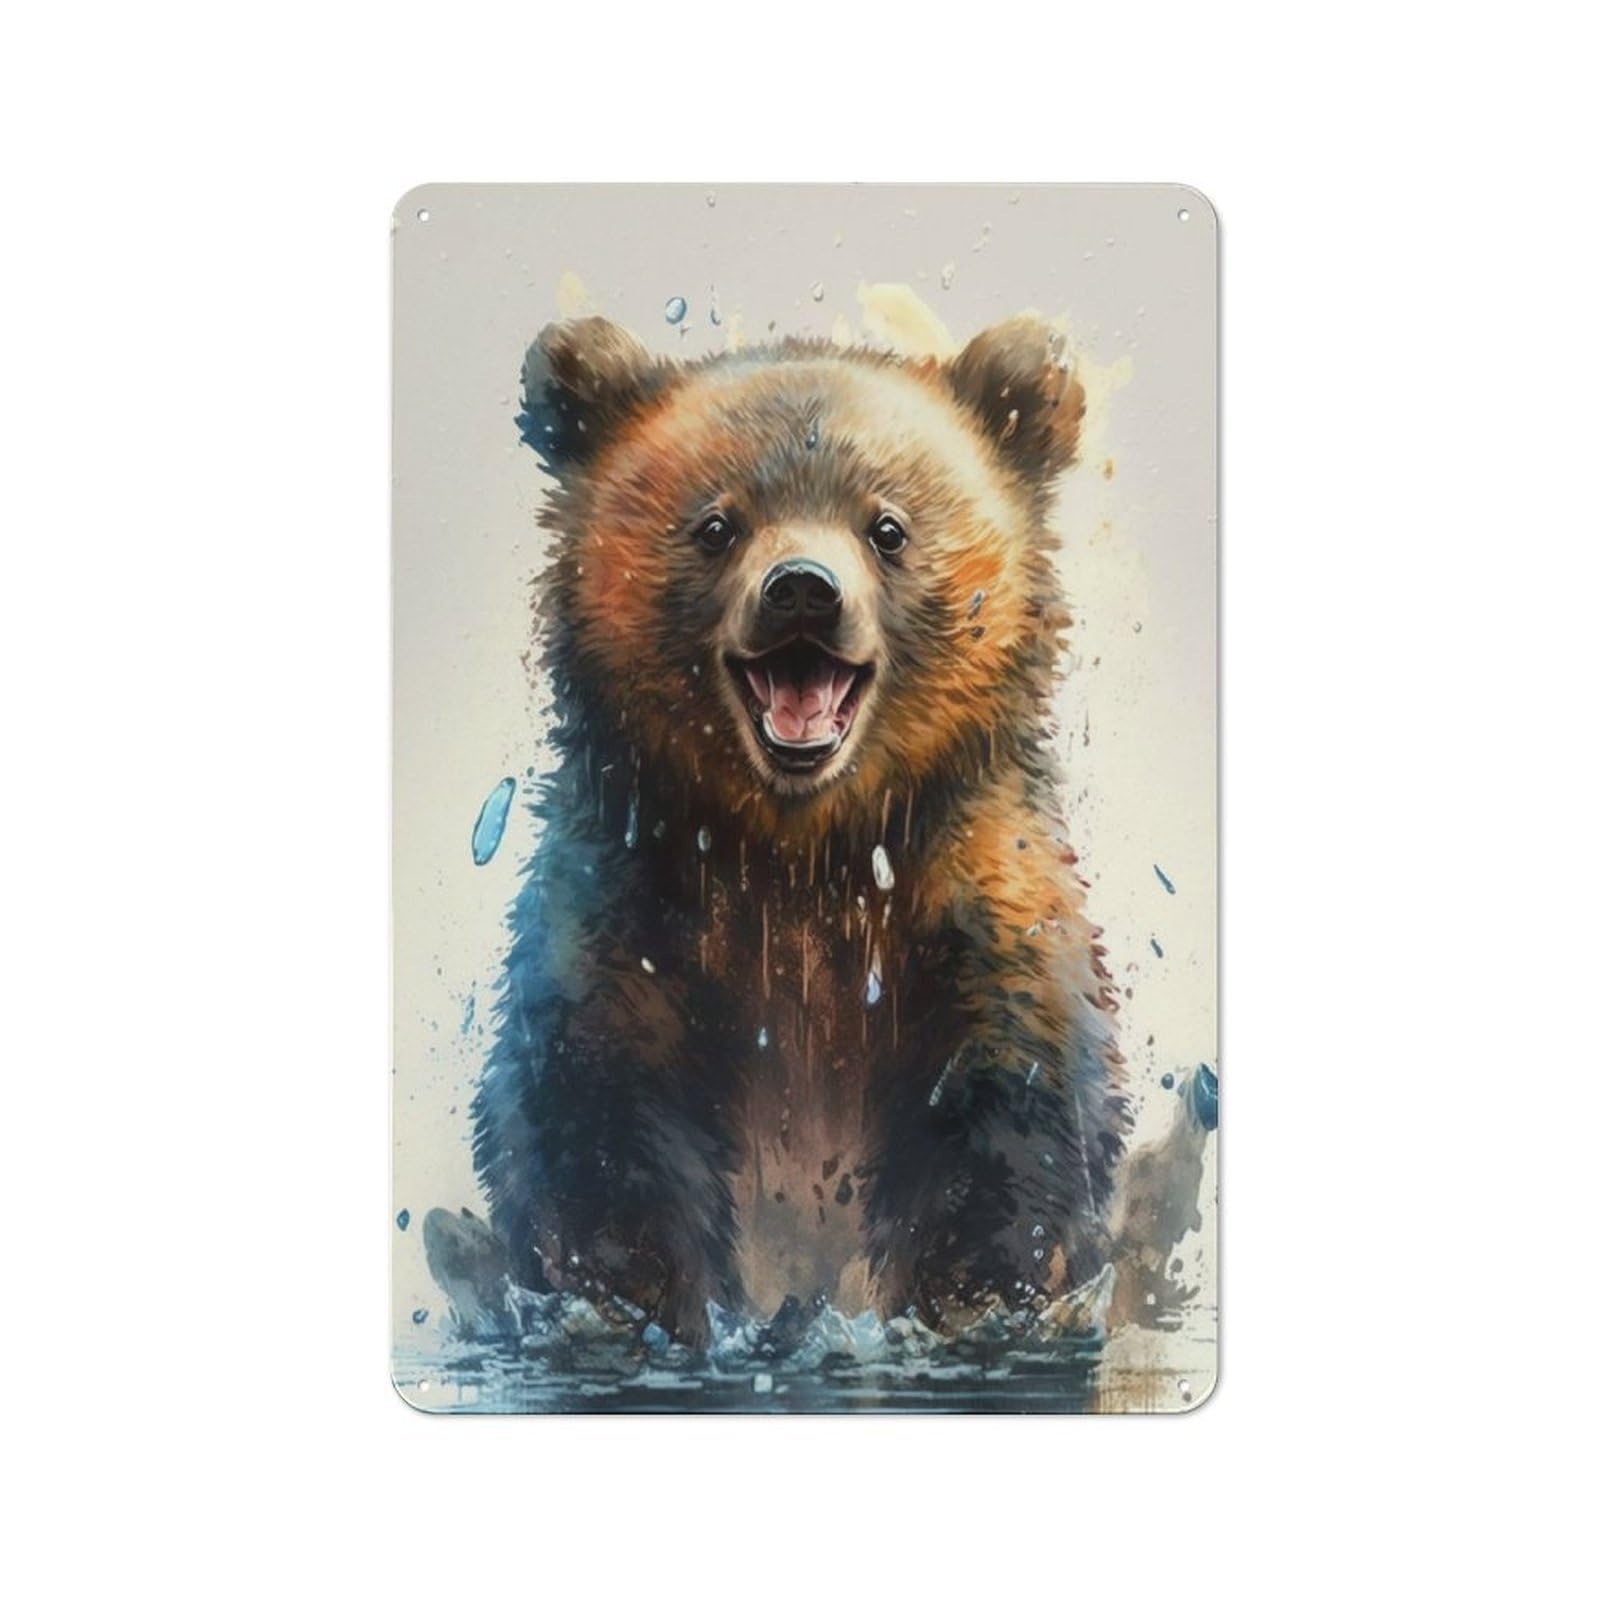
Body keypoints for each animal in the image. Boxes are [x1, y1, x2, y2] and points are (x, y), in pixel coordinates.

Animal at [465, 313, 1129, 1342]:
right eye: (715, 524)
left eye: (887, 526)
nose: (804, 590)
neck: (803, 855)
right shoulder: (630, 904)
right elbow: (589, 1114)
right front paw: (633, 1296)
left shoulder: (979, 905)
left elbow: (1014, 1116)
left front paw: (970, 1293)